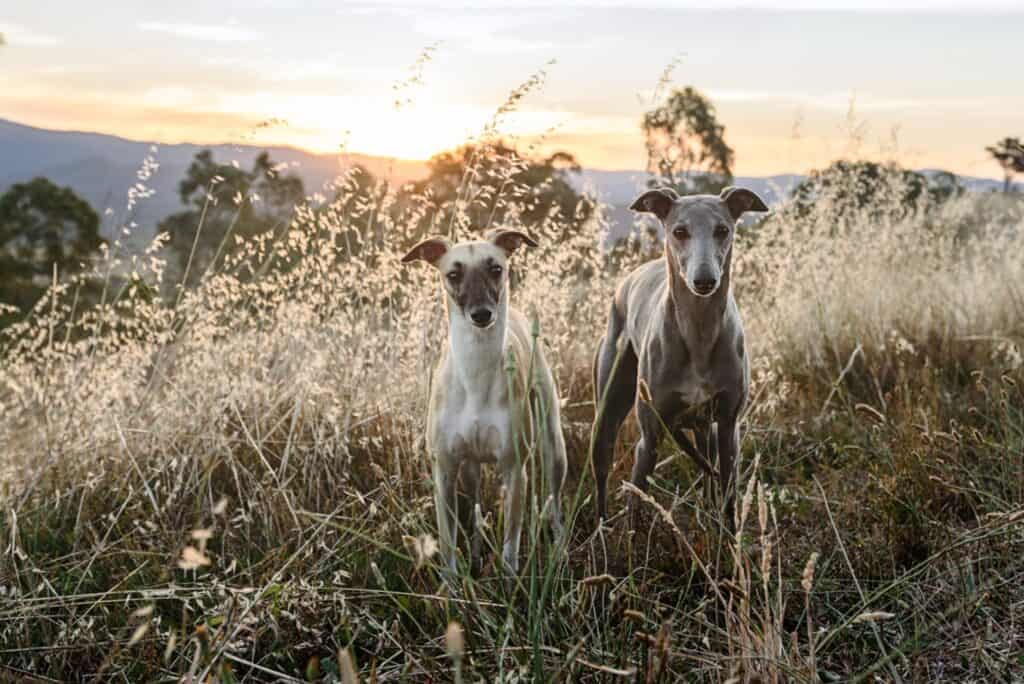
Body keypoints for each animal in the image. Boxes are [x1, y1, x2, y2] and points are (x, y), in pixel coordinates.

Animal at [403, 228, 569, 573]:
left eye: (496, 269)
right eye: (453, 274)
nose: (482, 315)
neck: (475, 376)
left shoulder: (515, 470)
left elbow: (510, 549)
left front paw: (509, 581)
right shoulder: (445, 470)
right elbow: (448, 546)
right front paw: (453, 584)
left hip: (553, 446)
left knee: (555, 501)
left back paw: (559, 548)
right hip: (471, 469)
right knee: (477, 508)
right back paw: (478, 556)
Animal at [589, 187, 765, 528]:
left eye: (722, 230)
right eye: (679, 232)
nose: (704, 281)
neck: (698, 333)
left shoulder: (728, 426)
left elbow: (728, 498)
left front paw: (728, 539)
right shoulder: (650, 438)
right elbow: (635, 509)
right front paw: (631, 541)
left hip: (705, 429)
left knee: (709, 469)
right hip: (607, 411)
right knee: (602, 469)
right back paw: (601, 527)